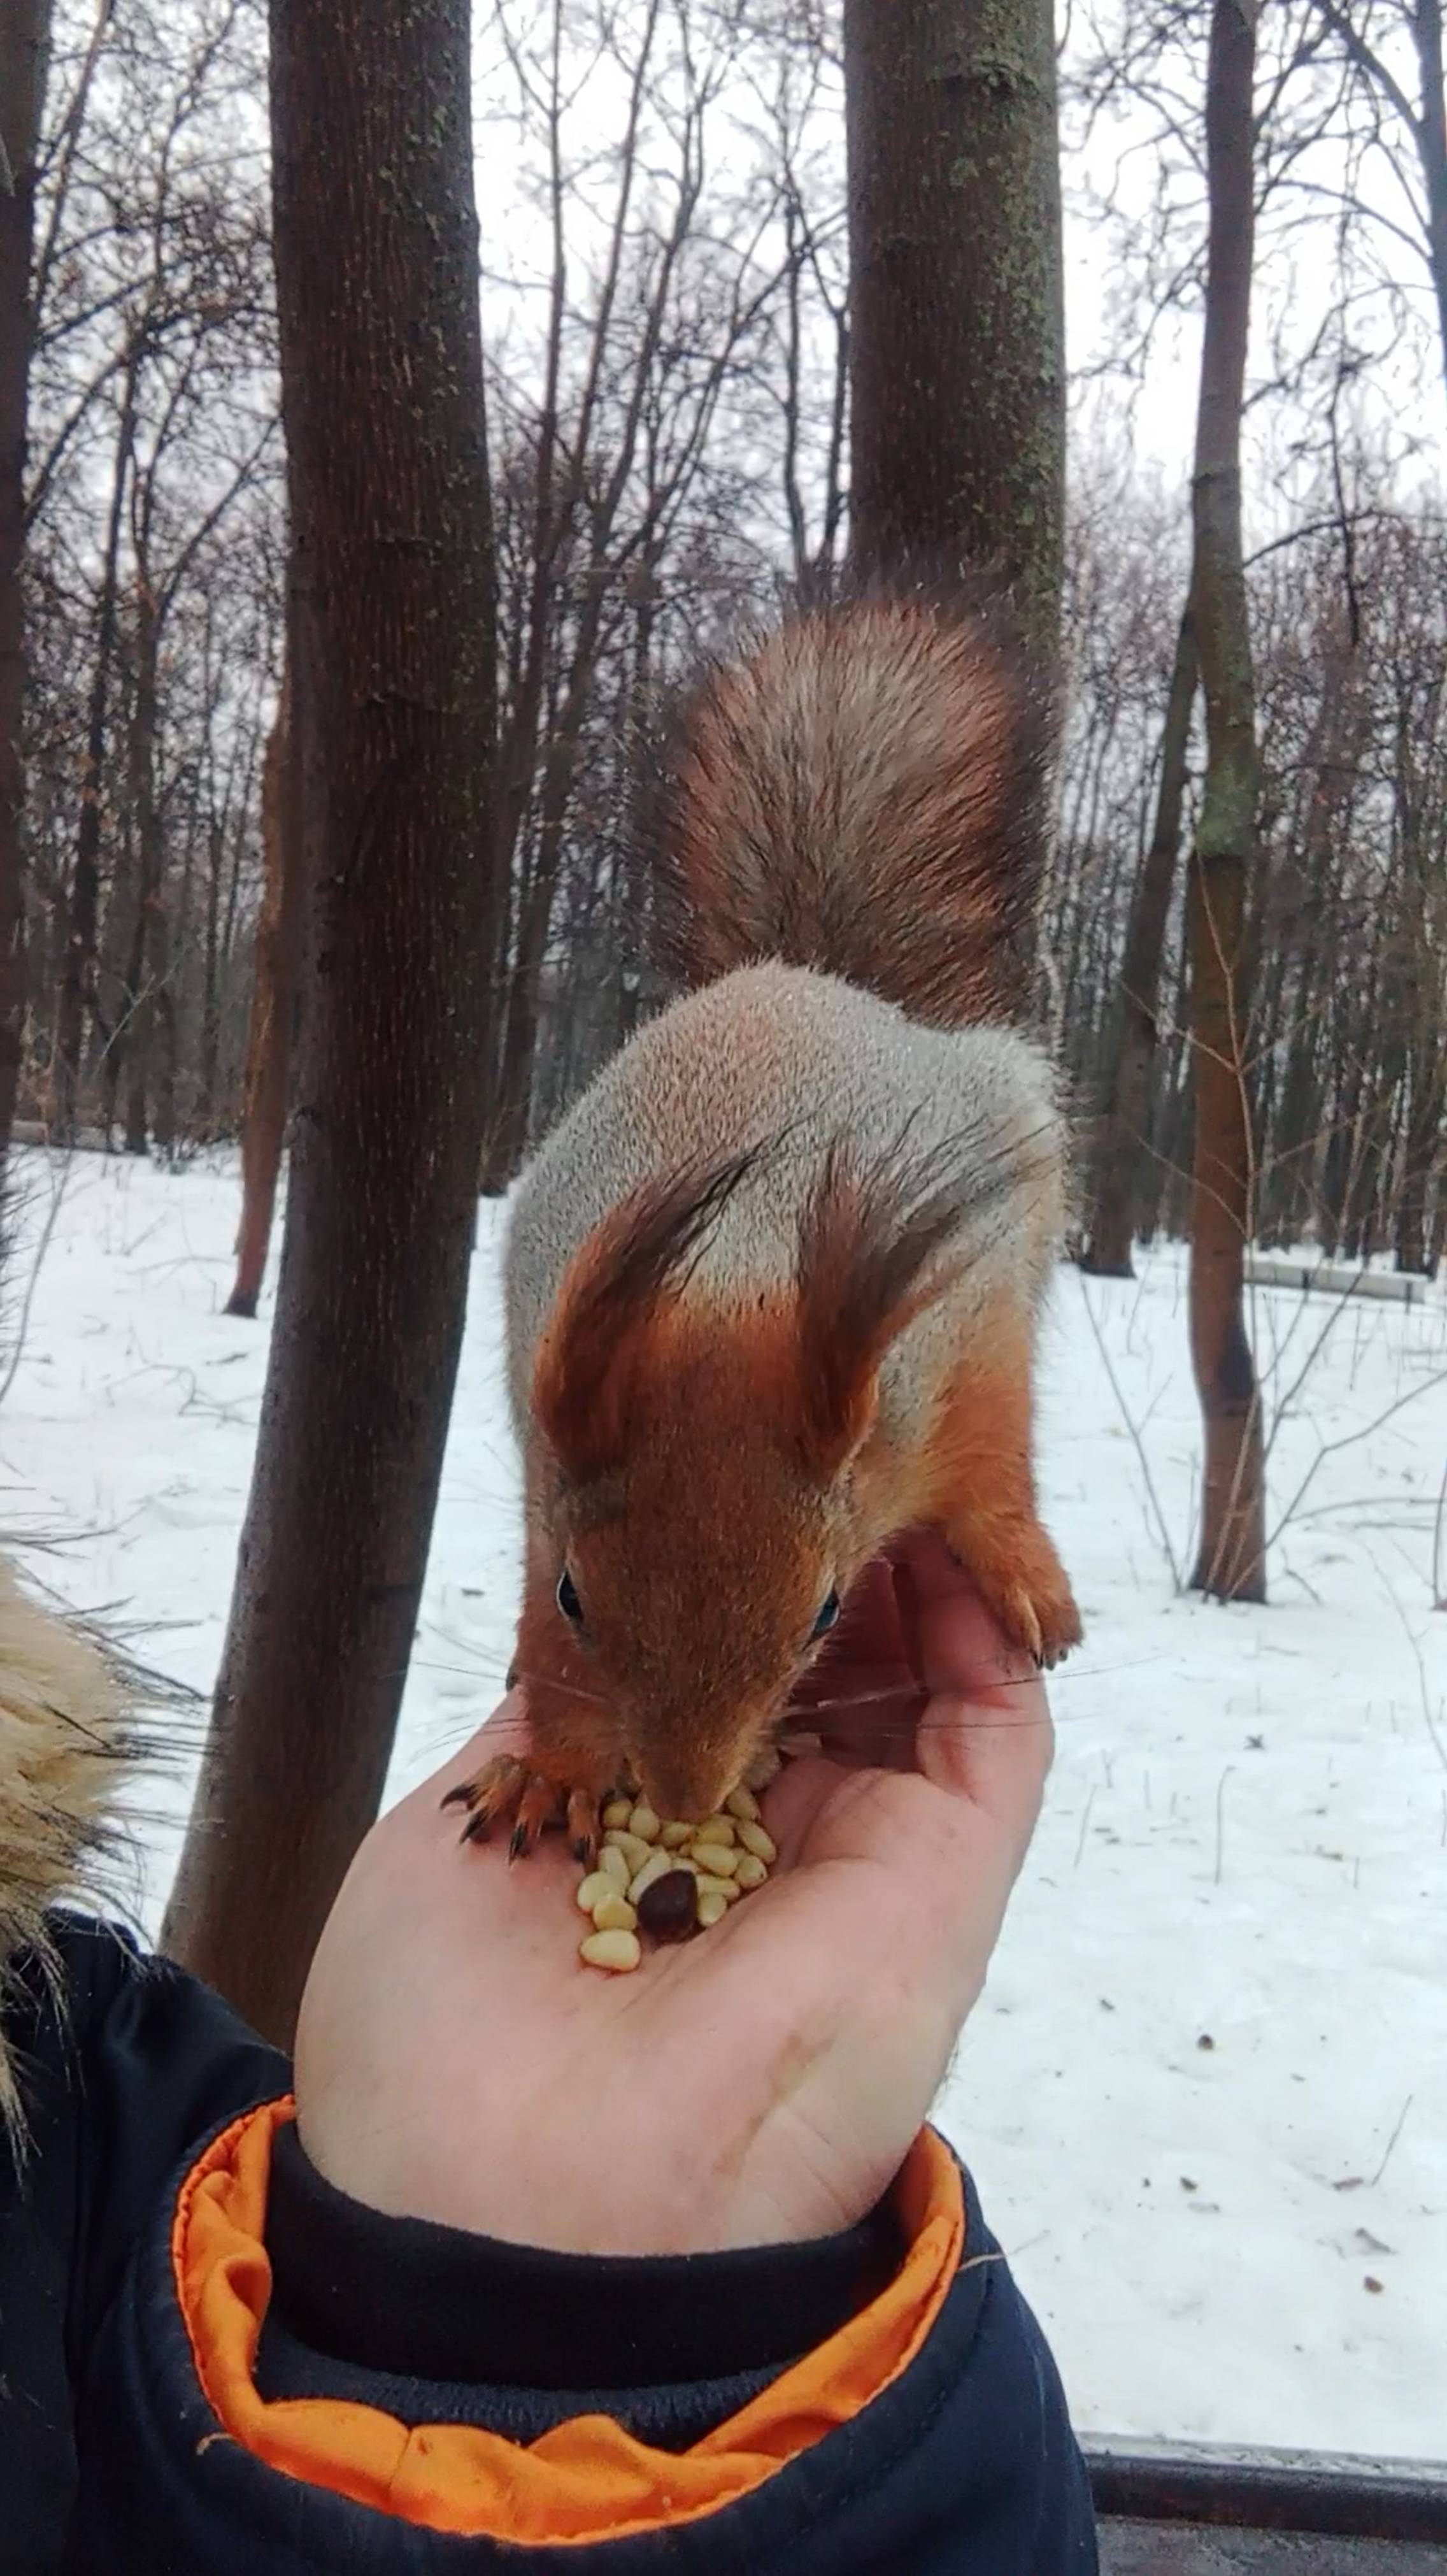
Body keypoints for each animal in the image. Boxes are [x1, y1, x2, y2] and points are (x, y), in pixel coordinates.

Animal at [445, 595, 1076, 1864]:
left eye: (827, 1608)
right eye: (579, 1595)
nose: (684, 1796)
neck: (727, 1280)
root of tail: (804, 975)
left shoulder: (964, 1338)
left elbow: (995, 1462)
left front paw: (1022, 1568)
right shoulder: (546, 1470)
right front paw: (552, 1771)